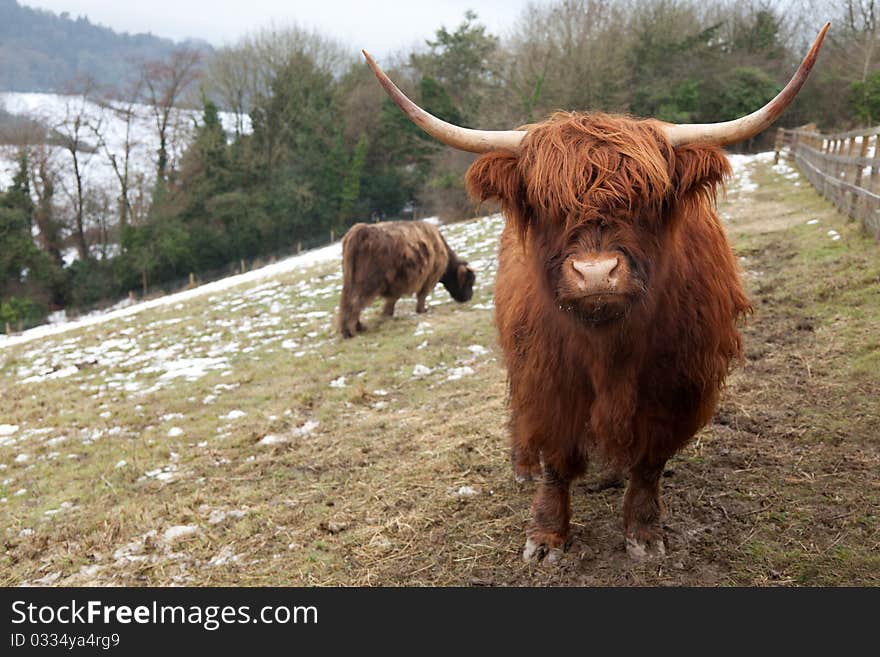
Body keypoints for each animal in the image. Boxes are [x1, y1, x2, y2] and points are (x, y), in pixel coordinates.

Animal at [336, 220, 474, 338]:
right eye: (469, 282)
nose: (469, 297)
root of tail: (360, 231)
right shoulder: (428, 278)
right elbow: (421, 295)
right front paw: (422, 310)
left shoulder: (397, 283)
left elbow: (392, 299)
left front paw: (387, 314)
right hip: (368, 283)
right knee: (355, 303)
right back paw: (351, 332)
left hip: (350, 281)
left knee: (346, 302)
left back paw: (355, 328)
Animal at [360, 23, 828, 560]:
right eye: (546, 203)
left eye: (649, 199)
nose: (597, 272)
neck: (611, 350)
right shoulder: (548, 378)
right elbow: (556, 458)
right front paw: (545, 535)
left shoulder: (677, 385)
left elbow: (649, 462)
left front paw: (643, 531)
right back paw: (522, 465)